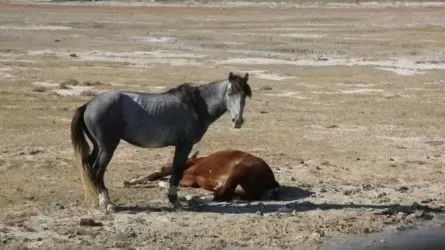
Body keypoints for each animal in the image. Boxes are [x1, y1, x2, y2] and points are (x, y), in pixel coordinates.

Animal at [69, 72, 250, 211]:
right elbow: (176, 171)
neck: (196, 105)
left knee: (89, 166)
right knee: (97, 170)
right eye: (229, 94)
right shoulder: (184, 145)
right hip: (107, 147)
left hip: (98, 146)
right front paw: (175, 202)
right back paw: (107, 203)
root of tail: (88, 105)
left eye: (244, 96)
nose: (238, 121)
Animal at [123, 150, 280, 201]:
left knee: (220, 195)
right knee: (224, 194)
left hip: (239, 170)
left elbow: (159, 175)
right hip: (240, 189)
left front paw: (132, 181)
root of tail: (272, 181)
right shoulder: (189, 180)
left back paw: (189, 199)